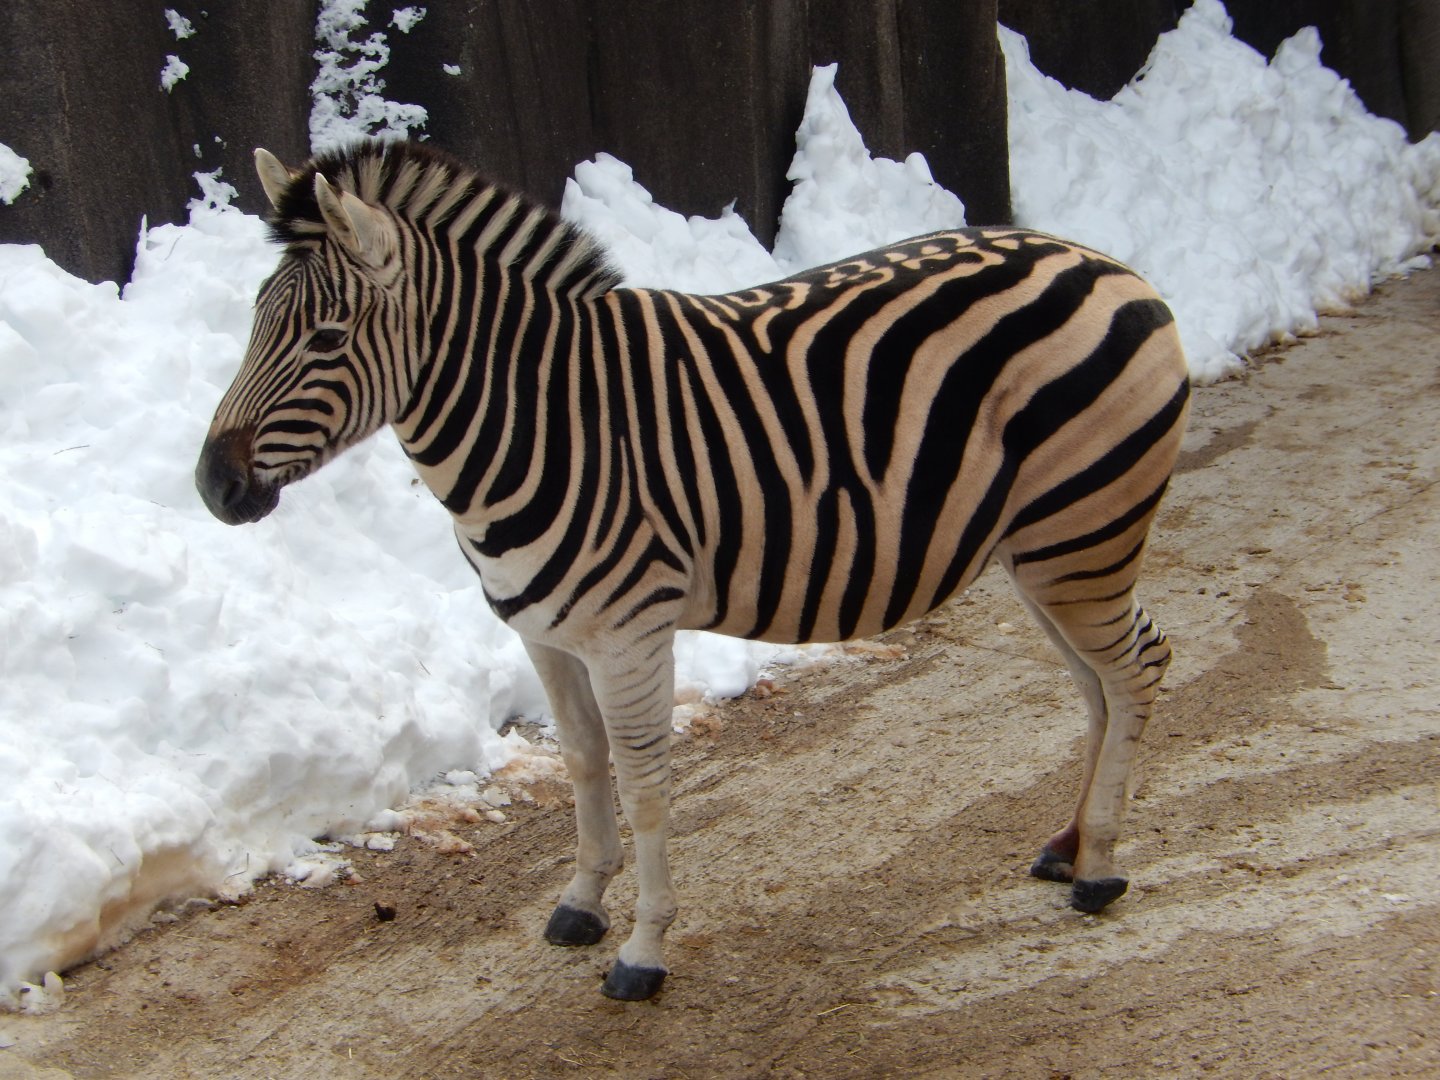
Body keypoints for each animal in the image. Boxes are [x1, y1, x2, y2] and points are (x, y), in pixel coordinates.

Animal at [196, 140, 1190, 1001]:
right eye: (253, 322)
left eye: (327, 338)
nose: (213, 485)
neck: (548, 420)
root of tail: (1102, 260)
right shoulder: (545, 636)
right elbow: (583, 766)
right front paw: (580, 903)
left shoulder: (630, 635)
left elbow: (644, 790)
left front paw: (642, 950)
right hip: (1041, 554)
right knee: (1098, 687)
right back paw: (1068, 843)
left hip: (1082, 539)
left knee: (1140, 668)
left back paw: (1101, 867)